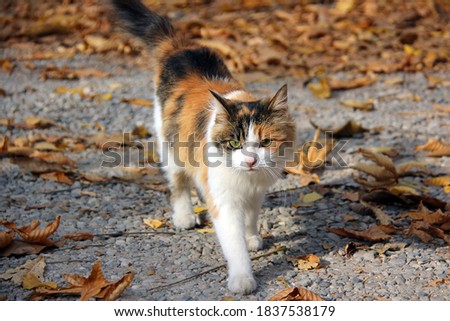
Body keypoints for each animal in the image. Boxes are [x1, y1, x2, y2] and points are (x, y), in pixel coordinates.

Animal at [111, 0, 298, 296]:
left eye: (266, 142)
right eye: (235, 143)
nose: (250, 161)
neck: (246, 179)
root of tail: (180, 47)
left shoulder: (256, 192)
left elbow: (251, 218)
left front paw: (252, 237)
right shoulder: (224, 201)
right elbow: (234, 244)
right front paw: (242, 278)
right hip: (170, 148)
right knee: (178, 184)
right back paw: (185, 216)